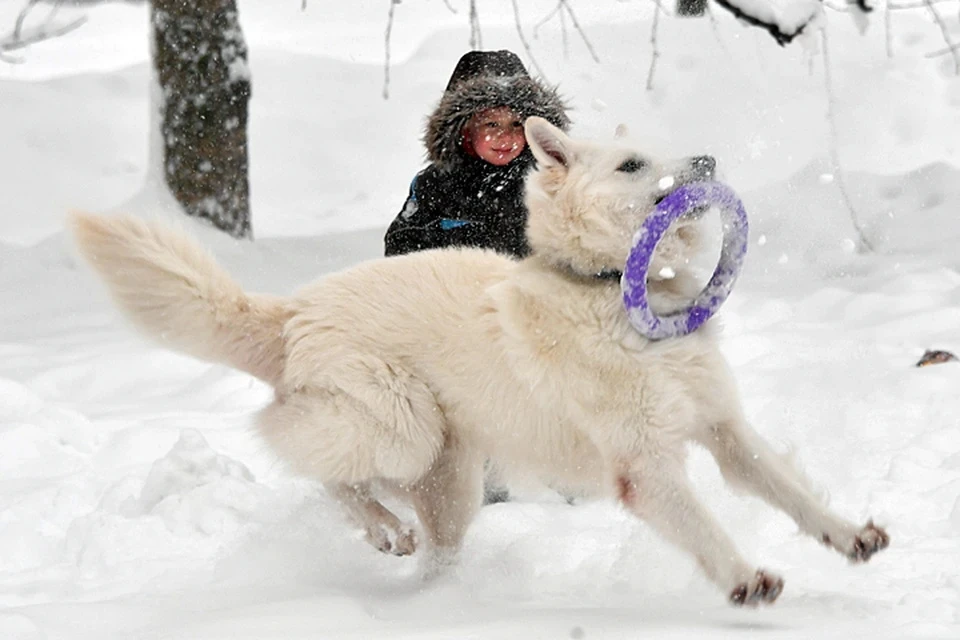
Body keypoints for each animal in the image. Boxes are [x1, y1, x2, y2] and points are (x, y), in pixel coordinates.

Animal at [71, 119, 888, 604]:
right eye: (632, 164)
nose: (710, 159)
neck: (613, 294)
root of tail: (290, 312)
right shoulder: (645, 468)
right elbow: (706, 529)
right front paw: (746, 578)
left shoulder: (725, 431)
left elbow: (793, 492)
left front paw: (851, 537)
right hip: (403, 427)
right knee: (325, 471)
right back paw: (381, 530)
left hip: (449, 477)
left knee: (425, 538)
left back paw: (428, 584)